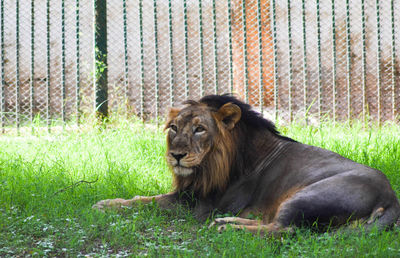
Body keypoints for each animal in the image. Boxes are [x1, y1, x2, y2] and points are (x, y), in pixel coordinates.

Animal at [94, 94, 400, 234]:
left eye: (199, 129)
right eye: (173, 128)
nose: (176, 155)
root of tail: (391, 198)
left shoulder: (199, 205)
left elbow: (150, 202)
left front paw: (104, 205)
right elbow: (143, 197)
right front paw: (108, 202)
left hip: (308, 196)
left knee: (284, 230)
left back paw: (228, 227)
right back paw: (229, 222)